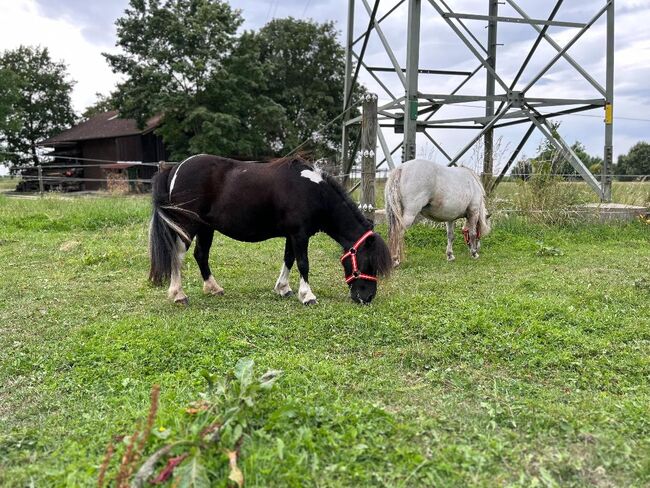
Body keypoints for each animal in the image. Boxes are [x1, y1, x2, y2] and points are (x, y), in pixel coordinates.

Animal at [147, 154, 390, 304]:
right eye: (368, 262)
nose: (367, 297)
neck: (314, 192)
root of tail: (175, 168)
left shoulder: (292, 235)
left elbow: (289, 259)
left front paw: (283, 288)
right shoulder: (300, 235)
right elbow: (303, 263)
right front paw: (307, 295)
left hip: (206, 227)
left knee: (201, 255)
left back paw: (214, 288)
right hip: (187, 225)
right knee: (177, 255)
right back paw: (179, 295)